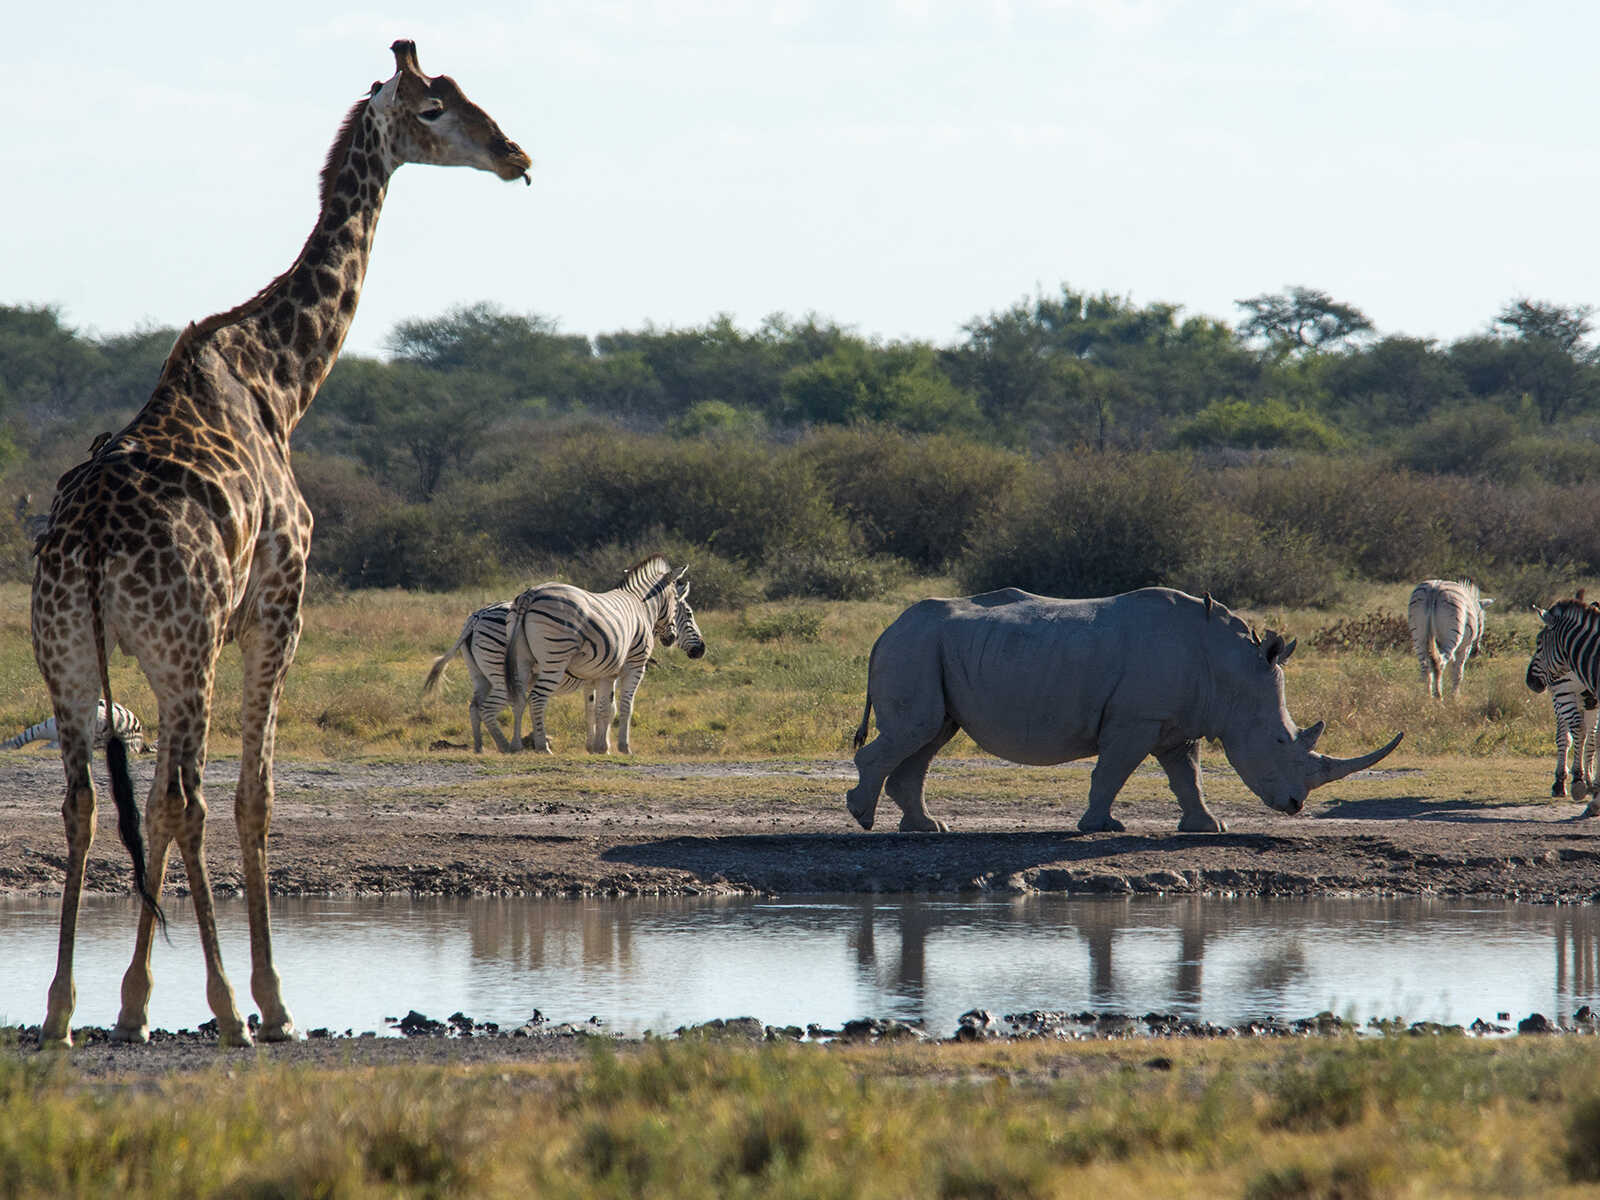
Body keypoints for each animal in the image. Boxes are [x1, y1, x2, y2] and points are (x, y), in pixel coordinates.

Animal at [846, 586, 1403, 834]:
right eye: (1281, 742)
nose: (1295, 806)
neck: (1232, 675)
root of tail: (883, 632)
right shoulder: (1136, 719)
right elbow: (1112, 771)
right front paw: (1101, 828)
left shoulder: (1177, 723)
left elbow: (1188, 777)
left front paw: (1208, 828)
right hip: (916, 647)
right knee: (916, 729)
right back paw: (863, 818)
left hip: (933, 650)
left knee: (931, 734)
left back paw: (926, 828)